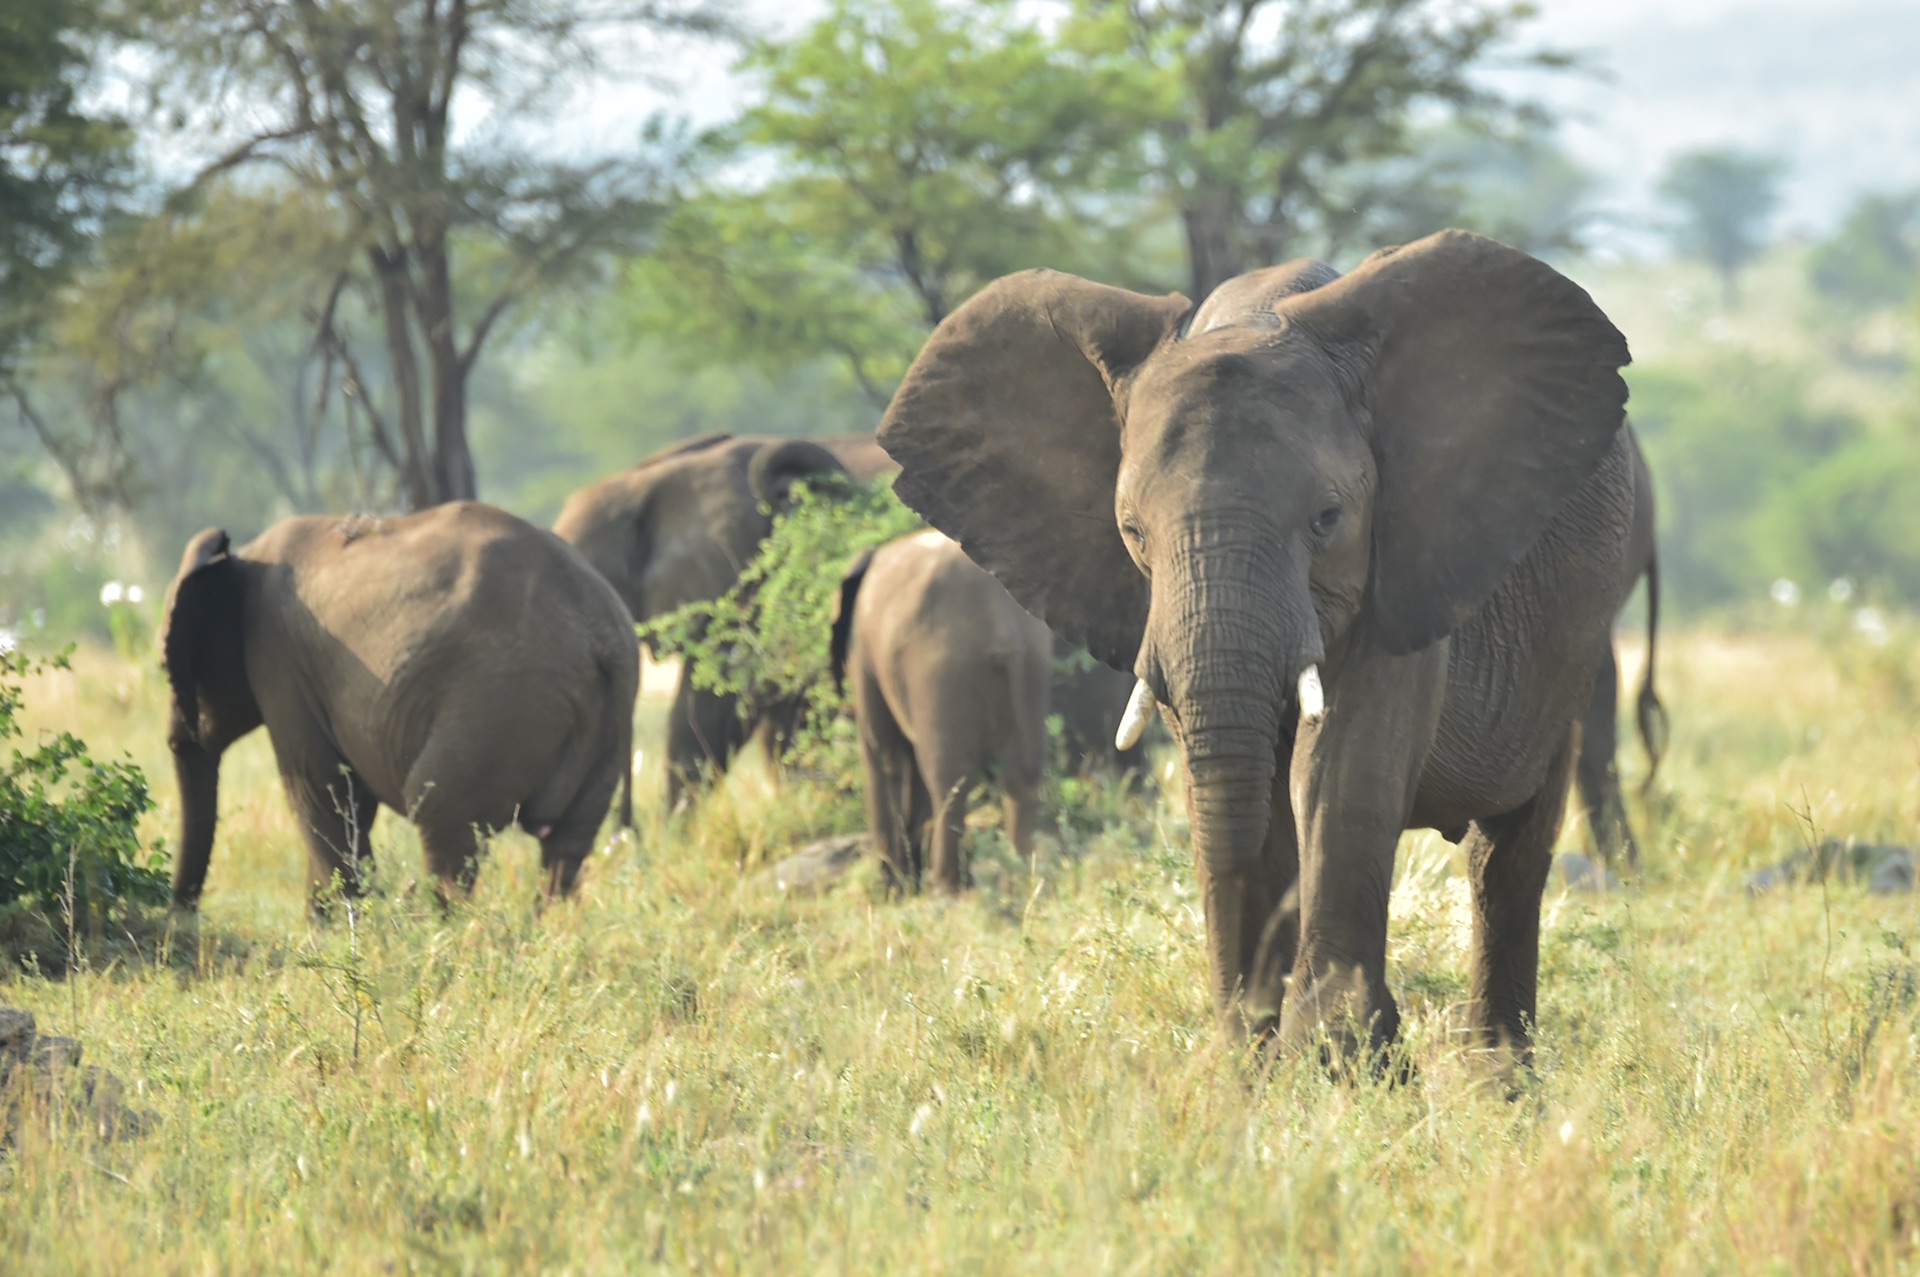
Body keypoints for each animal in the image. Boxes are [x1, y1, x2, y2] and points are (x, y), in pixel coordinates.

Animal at [159, 499, 637, 906]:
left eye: (166, 667)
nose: (183, 910)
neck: (242, 558)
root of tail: (600, 636)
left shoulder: (278, 660)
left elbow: (321, 791)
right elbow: (344, 799)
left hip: (499, 709)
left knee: (443, 824)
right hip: (604, 729)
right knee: (566, 849)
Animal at [825, 526, 1052, 887]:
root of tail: (1002, 622)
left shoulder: (864, 655)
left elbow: (883, 754)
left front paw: (893, 888)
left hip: (940, 670)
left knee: (949, 779)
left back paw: (942, 887)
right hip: (1033, 665)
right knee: (1023, 774)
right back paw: (1018, 880)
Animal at [879, 226, 1635, 1052]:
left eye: (1328, 518)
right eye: (1131, 531)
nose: (1251, 1015)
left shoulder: (1396, 564)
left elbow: (1341, 768)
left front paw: (1342, 1054)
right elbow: (1239, 781)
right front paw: (1259, 1054)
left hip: (1577, 635)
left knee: (1508, 854)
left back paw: (1498, 1073)